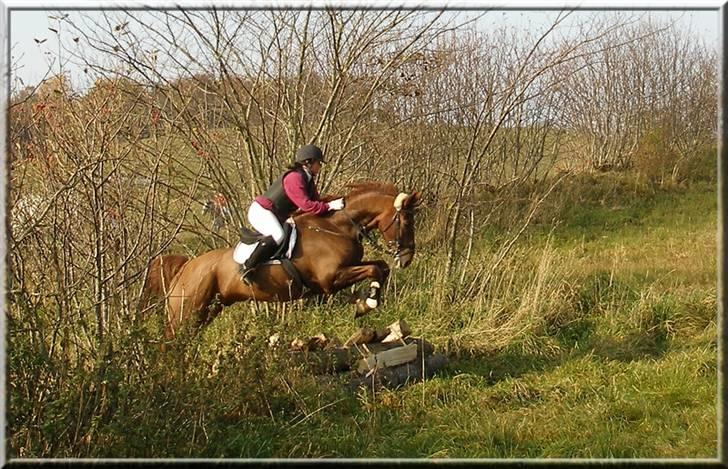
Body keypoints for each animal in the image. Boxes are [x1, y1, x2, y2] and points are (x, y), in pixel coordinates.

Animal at [141, 181, 420, 338]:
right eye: (406, 221)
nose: (407, 259)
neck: (336, 227)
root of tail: (186, 266)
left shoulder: (343, 271)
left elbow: (380, 268)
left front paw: (366, 301)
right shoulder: (330, 279)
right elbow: (375, 269)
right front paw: (366, 304)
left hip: (207, 311)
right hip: (186, 312)